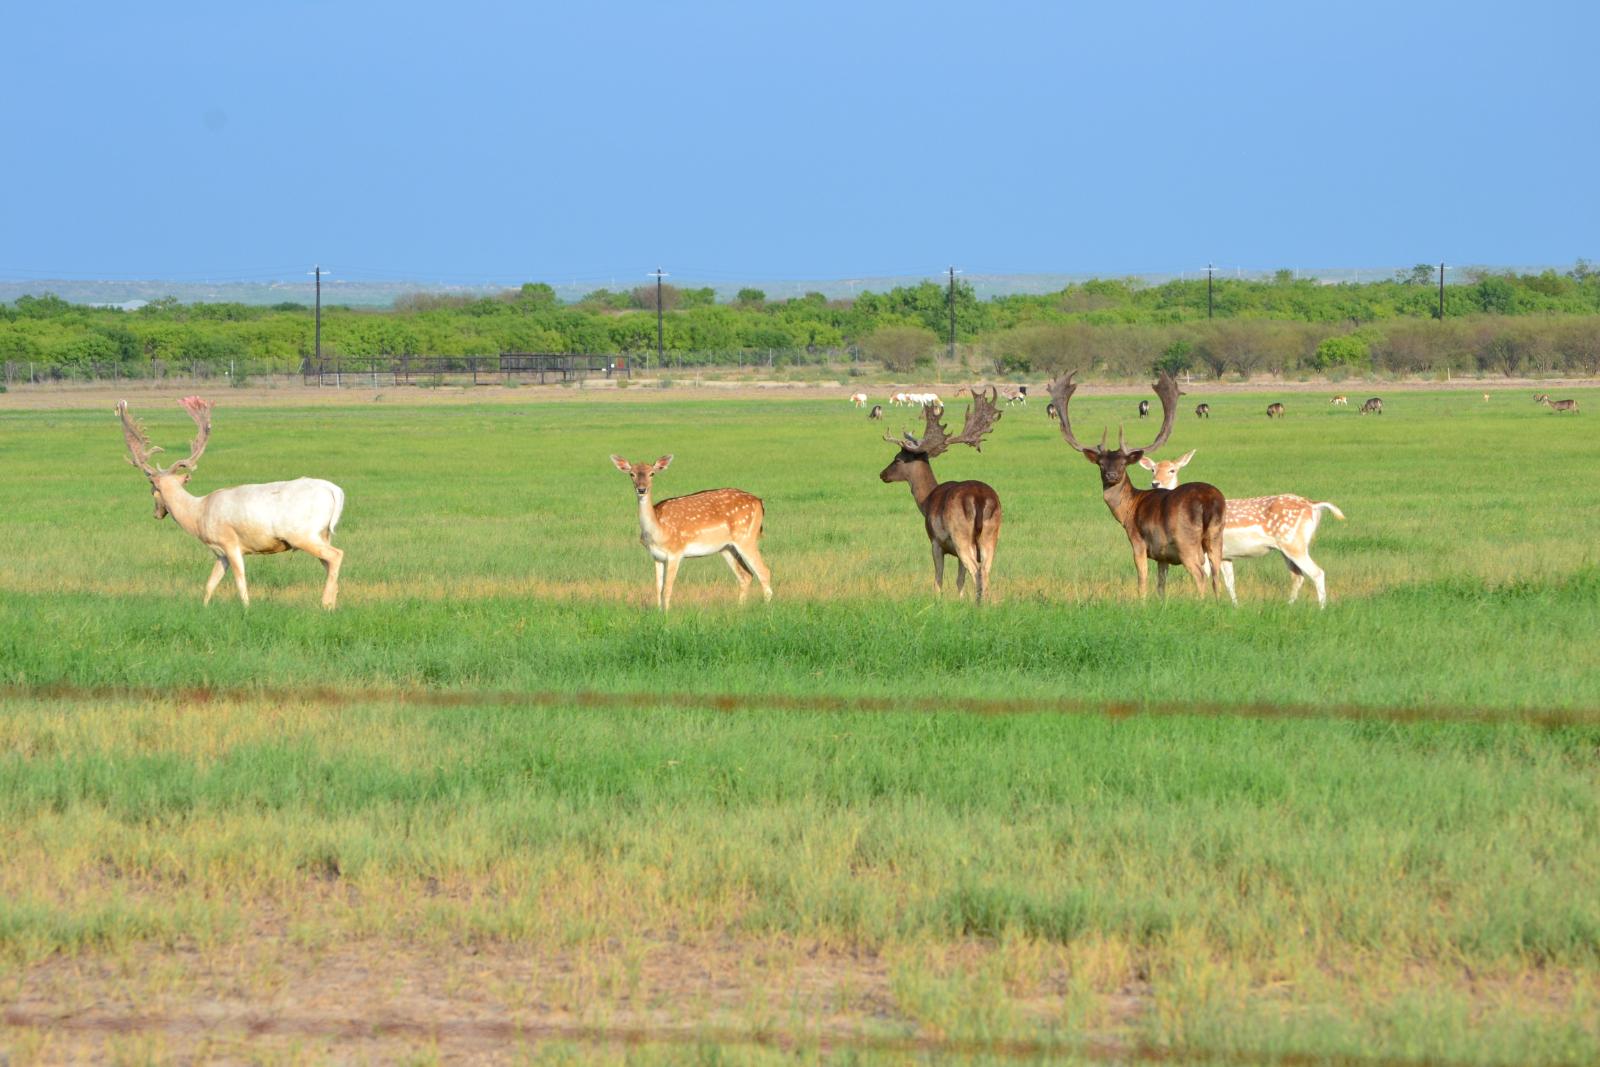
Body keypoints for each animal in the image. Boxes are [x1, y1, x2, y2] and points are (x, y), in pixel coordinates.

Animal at [116, 397, 346, 608]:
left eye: (152, 489)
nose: (156, 513)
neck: (198, 515)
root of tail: (335, 491)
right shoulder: (220, 553)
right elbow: (210, 584)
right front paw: (204, 608)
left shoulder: (231, 543)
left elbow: (240, 581)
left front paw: (246, 609)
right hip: (323, 534)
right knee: (329, 563)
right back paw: (333, 603)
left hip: (302, 533)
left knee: (336, 555)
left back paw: (325, 604)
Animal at [610, 454, 772, 612]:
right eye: (632, 474)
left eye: (652, 473)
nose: (642, 489)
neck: (658, 530)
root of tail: (759, 502)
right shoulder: (656, 556)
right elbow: (658, 588)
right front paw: (658, 612)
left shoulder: (676, 552)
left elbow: (667, 589)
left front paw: (666, 616)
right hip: (727, 547)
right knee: (746, 575)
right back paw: (739, 609)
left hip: (746, 537)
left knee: (764, 572)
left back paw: (766, 609)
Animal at [879, 386, 1003, 603]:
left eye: (897, 459)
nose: (882, 474)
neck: (926, 500)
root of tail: (979, 499)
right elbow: (959, 580)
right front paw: (960, 600)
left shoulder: (936, 542)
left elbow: (938, 578)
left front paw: (937, 601)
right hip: (990, 534)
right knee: (985, 570)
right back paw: (984, 603)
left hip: (960, 535)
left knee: (976, 569)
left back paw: (978, 604)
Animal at [1047, 371, 1224, 599]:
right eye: (1101, 463)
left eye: (1123, 464)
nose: (1111, 475)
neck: (1128, 509)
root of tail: (1208, 501)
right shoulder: (1162, 555)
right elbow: (1161, 584)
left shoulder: (1138, 541)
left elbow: (1142, 579)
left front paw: (1142, 601)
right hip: (1216, 536)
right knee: (1217, 574)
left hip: (1186, 541)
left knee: (1201, 575)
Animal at [1140, 449, 1346, 608]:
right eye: (1153, 469)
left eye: (1172, 470)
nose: (1155, 483)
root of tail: (1313, 505)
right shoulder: (1226, 556)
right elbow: (1230, 582)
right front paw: (1234, 607)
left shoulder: (1203, 552)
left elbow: (1205, 575)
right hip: (1288, 547)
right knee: (1298, 576)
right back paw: (1289, 606)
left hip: (1294, 543)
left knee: (1317, 573)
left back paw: (1321, 608)